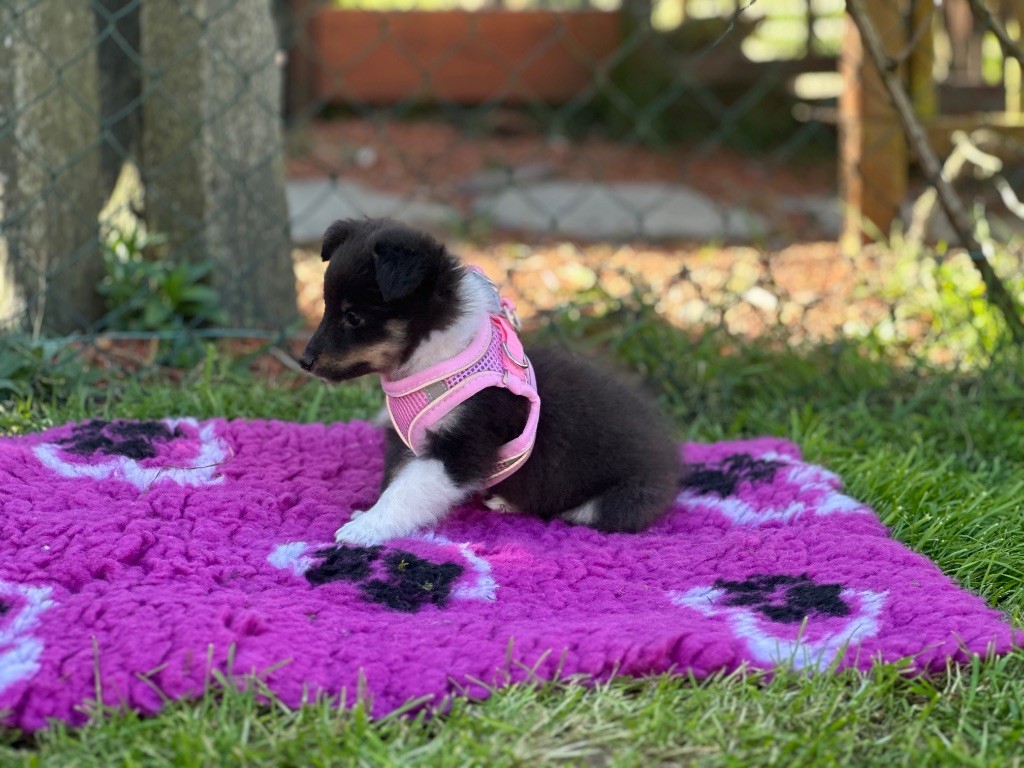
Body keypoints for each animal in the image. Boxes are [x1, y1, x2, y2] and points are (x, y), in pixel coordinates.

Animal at [299, 217, 681, 546]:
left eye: (353, 317)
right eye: (326, 306)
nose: (304, 362)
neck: (434, 357)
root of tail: (670, 461)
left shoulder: (462, 446)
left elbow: (406, 490)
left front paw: (366, 527)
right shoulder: (404, 441)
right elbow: (394, 478)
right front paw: (369, 515)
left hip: (615, 500)